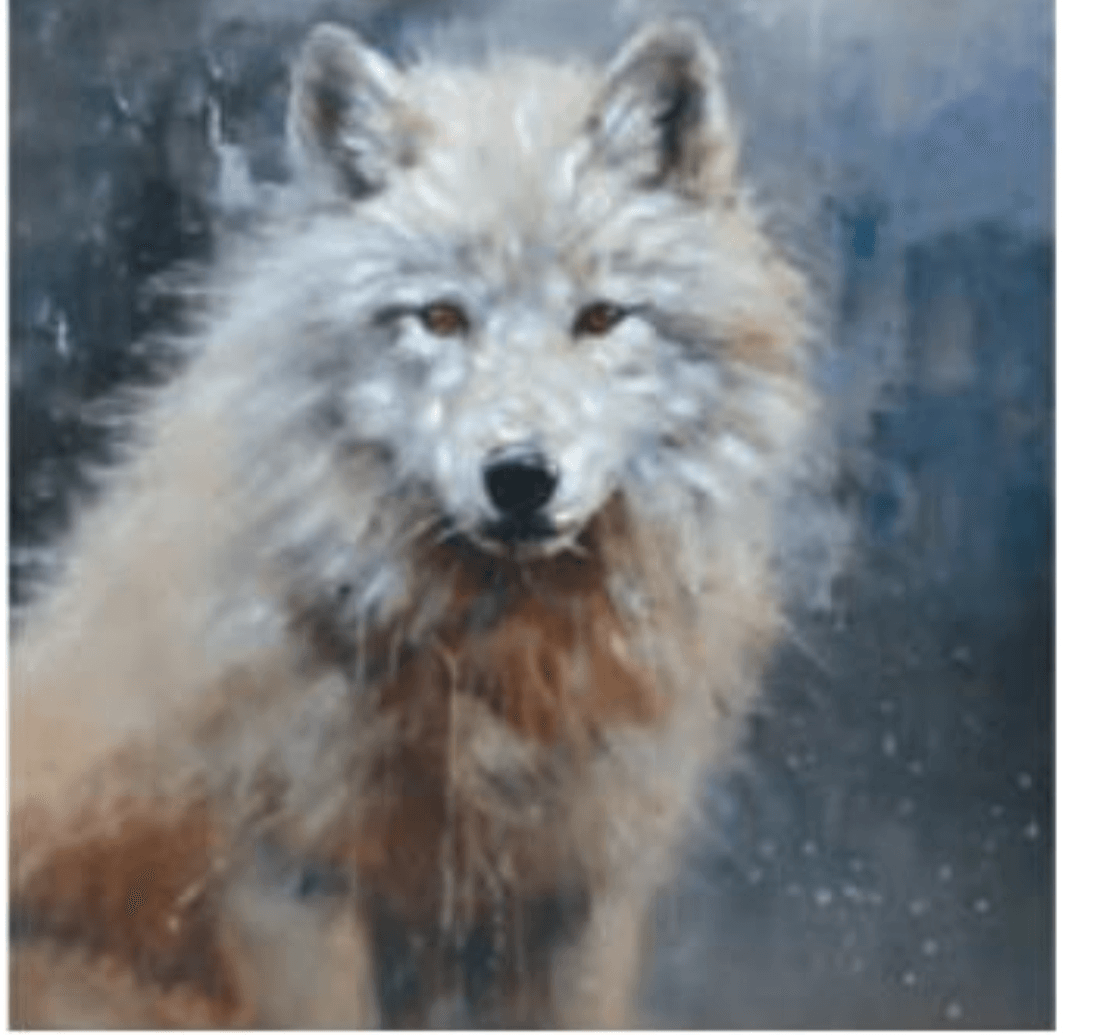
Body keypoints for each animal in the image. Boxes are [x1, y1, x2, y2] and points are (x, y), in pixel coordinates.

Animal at [10, 18, 815, 1028]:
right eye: (440, 316)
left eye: (600, 318)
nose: (520, 477)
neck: (491, 658)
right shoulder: (296, 882)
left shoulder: (574, 898)